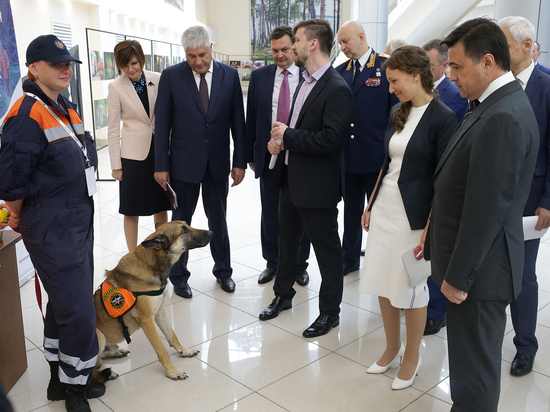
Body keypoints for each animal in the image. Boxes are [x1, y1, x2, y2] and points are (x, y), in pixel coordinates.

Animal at [92, 220, 213, 382]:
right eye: (183, 231)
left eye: (187, 225)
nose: (212, 233)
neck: (152, 264)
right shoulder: (147, 320)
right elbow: (162, 350)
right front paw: (172, 372)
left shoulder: (160, 313)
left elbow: (172, 336)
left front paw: (184, 351)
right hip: (98, 335)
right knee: (90, 369)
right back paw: (106, 373)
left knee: (100, 359)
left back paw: (116, 353)